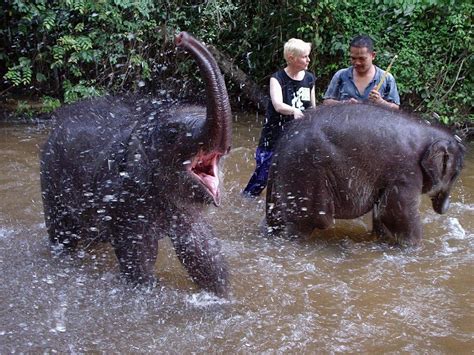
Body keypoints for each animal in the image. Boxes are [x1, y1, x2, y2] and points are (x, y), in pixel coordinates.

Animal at [40, 31, 231, 298]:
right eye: (173, 133)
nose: (180, 37)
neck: (142, 127)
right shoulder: (127, 199)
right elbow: (139, 262)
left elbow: (204, 251)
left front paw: (222, 295)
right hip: (50, 178)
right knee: (63, 234)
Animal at [264, 104, 464, 246]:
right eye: (455, 175)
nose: (446, 207)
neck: (428, 133)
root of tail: (279, 148)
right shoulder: (406, 172)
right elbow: (397, 212)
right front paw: (416, 248)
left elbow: (382, 212)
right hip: (303, 176)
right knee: (301, 225)